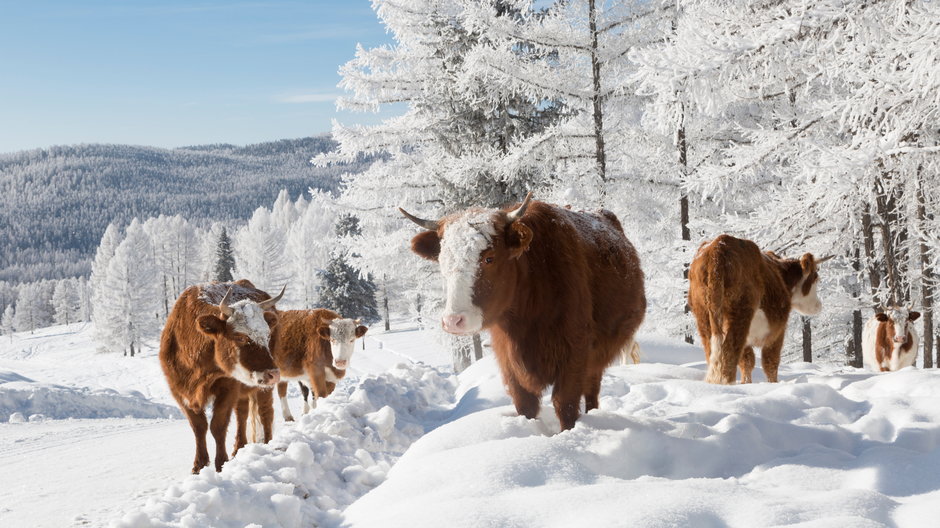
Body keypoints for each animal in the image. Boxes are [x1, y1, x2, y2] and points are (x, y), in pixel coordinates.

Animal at [160, 280, 282, 474]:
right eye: (240, 337)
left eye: (267, 335)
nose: (274, 374)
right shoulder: (179, 392)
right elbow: (198, 427)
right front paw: (199, 465)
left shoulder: (227, 387)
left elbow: (217, 425)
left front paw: (221, 464)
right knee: (242, 414)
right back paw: (238, 449)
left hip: (262, 388)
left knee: (265, 413)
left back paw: (267, 445)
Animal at [396, 192, 648, 432]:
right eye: (442, 261)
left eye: (489, 258)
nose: (453, 321)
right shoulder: (508, 362)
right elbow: (525, 406)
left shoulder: (575, 354)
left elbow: (565, 405)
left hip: (598, 355)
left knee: (592, 391)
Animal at [684, 234, 828, 384]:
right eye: (816, 278)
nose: (819, 305)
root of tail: (719, 245)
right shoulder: (777, 331)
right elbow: (770, 362)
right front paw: (772, 384)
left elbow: (747, 361)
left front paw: (746, 383)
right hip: (740, 312)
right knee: (730, 350)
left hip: (703, 315)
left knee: (713, 351)